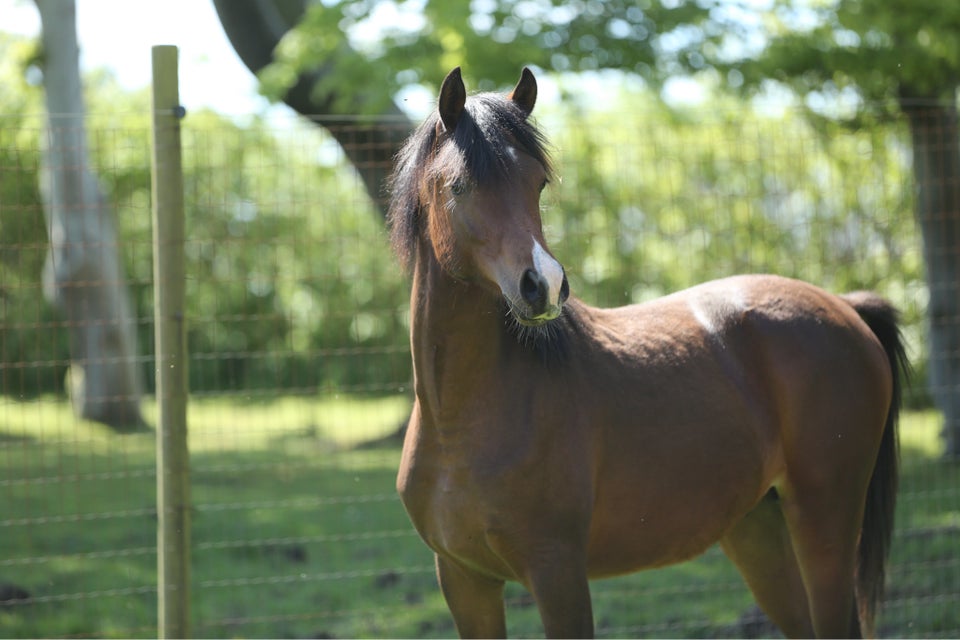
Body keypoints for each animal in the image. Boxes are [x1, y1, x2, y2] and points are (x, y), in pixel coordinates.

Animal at [386, 67, 904, 636]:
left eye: (537, 183)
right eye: (459, 185)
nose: (544, 286)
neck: (460, 421)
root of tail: (846, 307)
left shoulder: (557, 572)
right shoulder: (465, 582)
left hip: (824, 520)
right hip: (756, 528)